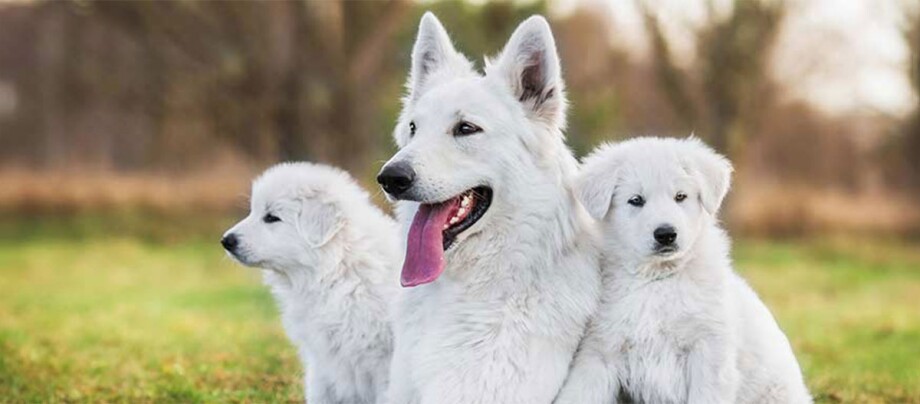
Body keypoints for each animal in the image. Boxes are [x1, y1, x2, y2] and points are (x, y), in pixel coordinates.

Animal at [221, 163, 400, 404]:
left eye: (271, 217)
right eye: (253, 211)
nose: (226, 241)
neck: (337, 270)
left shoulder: (383, 363)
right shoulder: (321, 363)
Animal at [552, 137, 812, 402]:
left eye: (680, 196)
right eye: (636, 200)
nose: (666, 234)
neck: (658, 279)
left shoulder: (709, 350)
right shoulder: (601, 350)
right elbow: (577, 393)